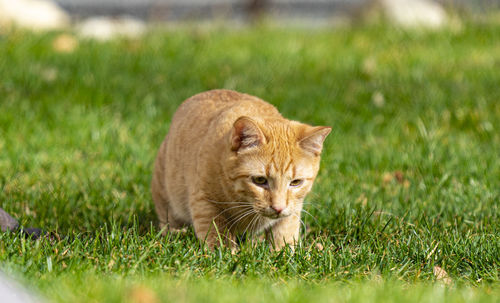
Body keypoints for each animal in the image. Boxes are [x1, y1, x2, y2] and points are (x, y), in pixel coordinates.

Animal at [152, 89, 332, 251]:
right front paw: (225, 254)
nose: (278, 208)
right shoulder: (205, 203)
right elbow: (217, 235)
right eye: (260, 180)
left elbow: (284, 234)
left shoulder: (293, 210)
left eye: (295, 182)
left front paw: (281, 254)